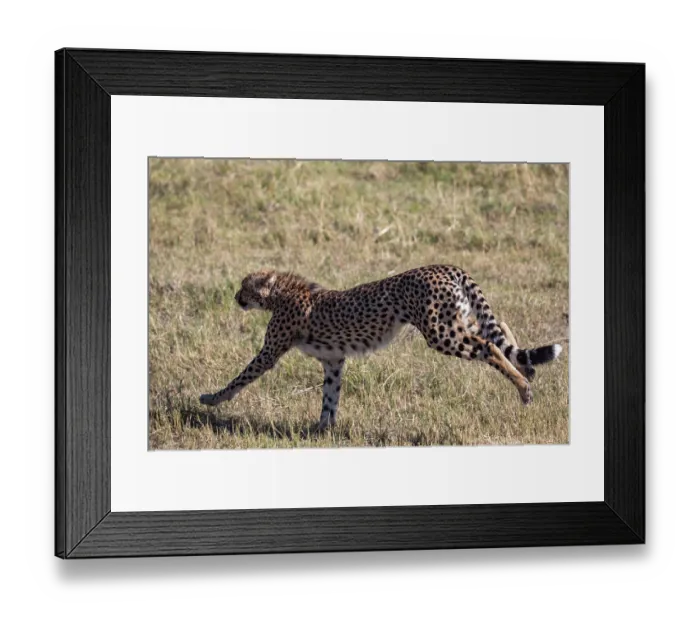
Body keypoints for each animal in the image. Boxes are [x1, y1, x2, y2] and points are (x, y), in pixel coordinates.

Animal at [199, 265, 563, 430]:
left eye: (245, 286)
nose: (236, 296)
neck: (282, 294)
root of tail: (444, 266)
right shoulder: (334, 361)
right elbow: (330, 396)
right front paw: (322, 429)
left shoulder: (270, 352)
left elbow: (240, 377)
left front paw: (211, 399)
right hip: (455, 321)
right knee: (499, 331)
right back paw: (528, 369)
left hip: (441, 332)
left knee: (489, 346)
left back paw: (524, 387)